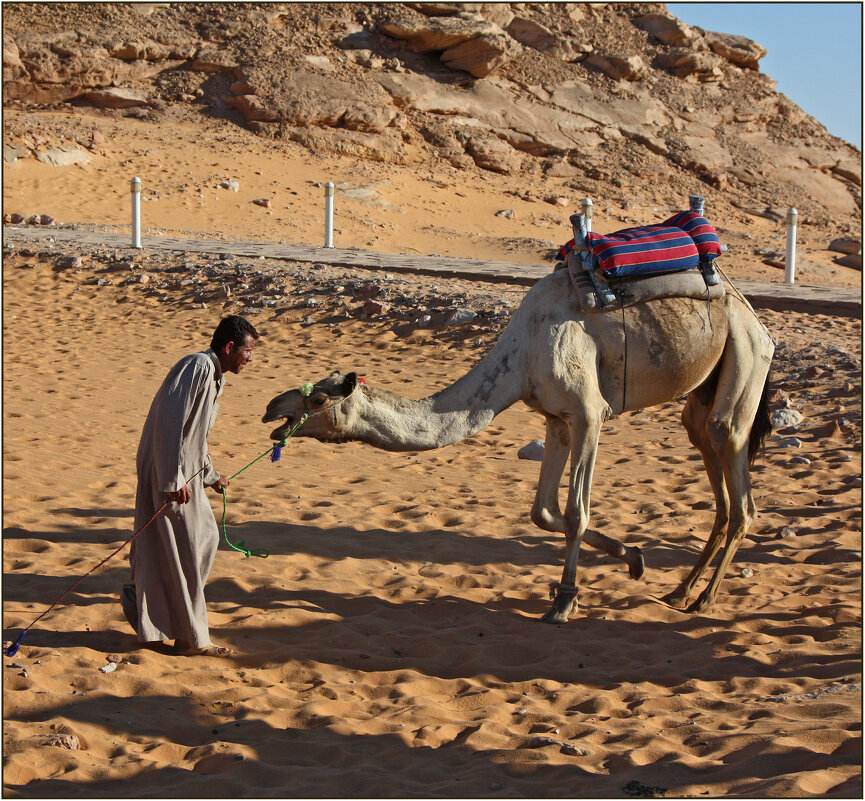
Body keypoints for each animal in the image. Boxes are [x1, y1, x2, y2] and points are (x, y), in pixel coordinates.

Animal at [260, 248, 772, 620]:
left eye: (317, 400)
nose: (271, 409)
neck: (520, 357)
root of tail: (755, 316)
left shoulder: (589, 414)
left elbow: (574, 512)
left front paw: (564, 600)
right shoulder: (556, 418)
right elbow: (542, 512)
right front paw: (632, 557)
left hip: (746, 352)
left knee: (736, 473)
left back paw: (704, 600)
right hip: (705, 386)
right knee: (708, 455)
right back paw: (680, 592)